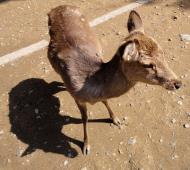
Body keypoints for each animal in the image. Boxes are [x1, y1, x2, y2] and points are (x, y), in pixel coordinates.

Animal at [47, 5, 181, 155]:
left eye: (163, 53)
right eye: (147, 65)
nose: (178, 83)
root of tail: (57, 8)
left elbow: (105, 101)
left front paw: (116, 119)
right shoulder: (77, 97)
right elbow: (84, 118)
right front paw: (86, 145)